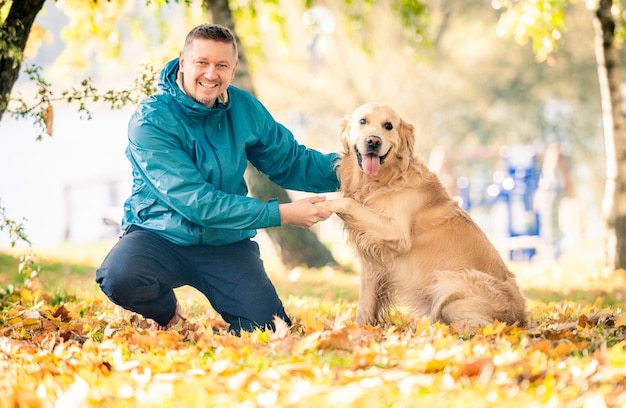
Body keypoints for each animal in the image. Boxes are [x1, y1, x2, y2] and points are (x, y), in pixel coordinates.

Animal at [316, 103, 528, 328]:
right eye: (362, 121)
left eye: (388, 126)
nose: (373, 141)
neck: (382, 181)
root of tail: (521, 317)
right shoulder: (372, 264)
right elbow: (364, 306)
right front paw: (361, 331)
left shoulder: (396, 232)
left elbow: (348, 203)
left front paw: (322, 204)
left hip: (449, 285)